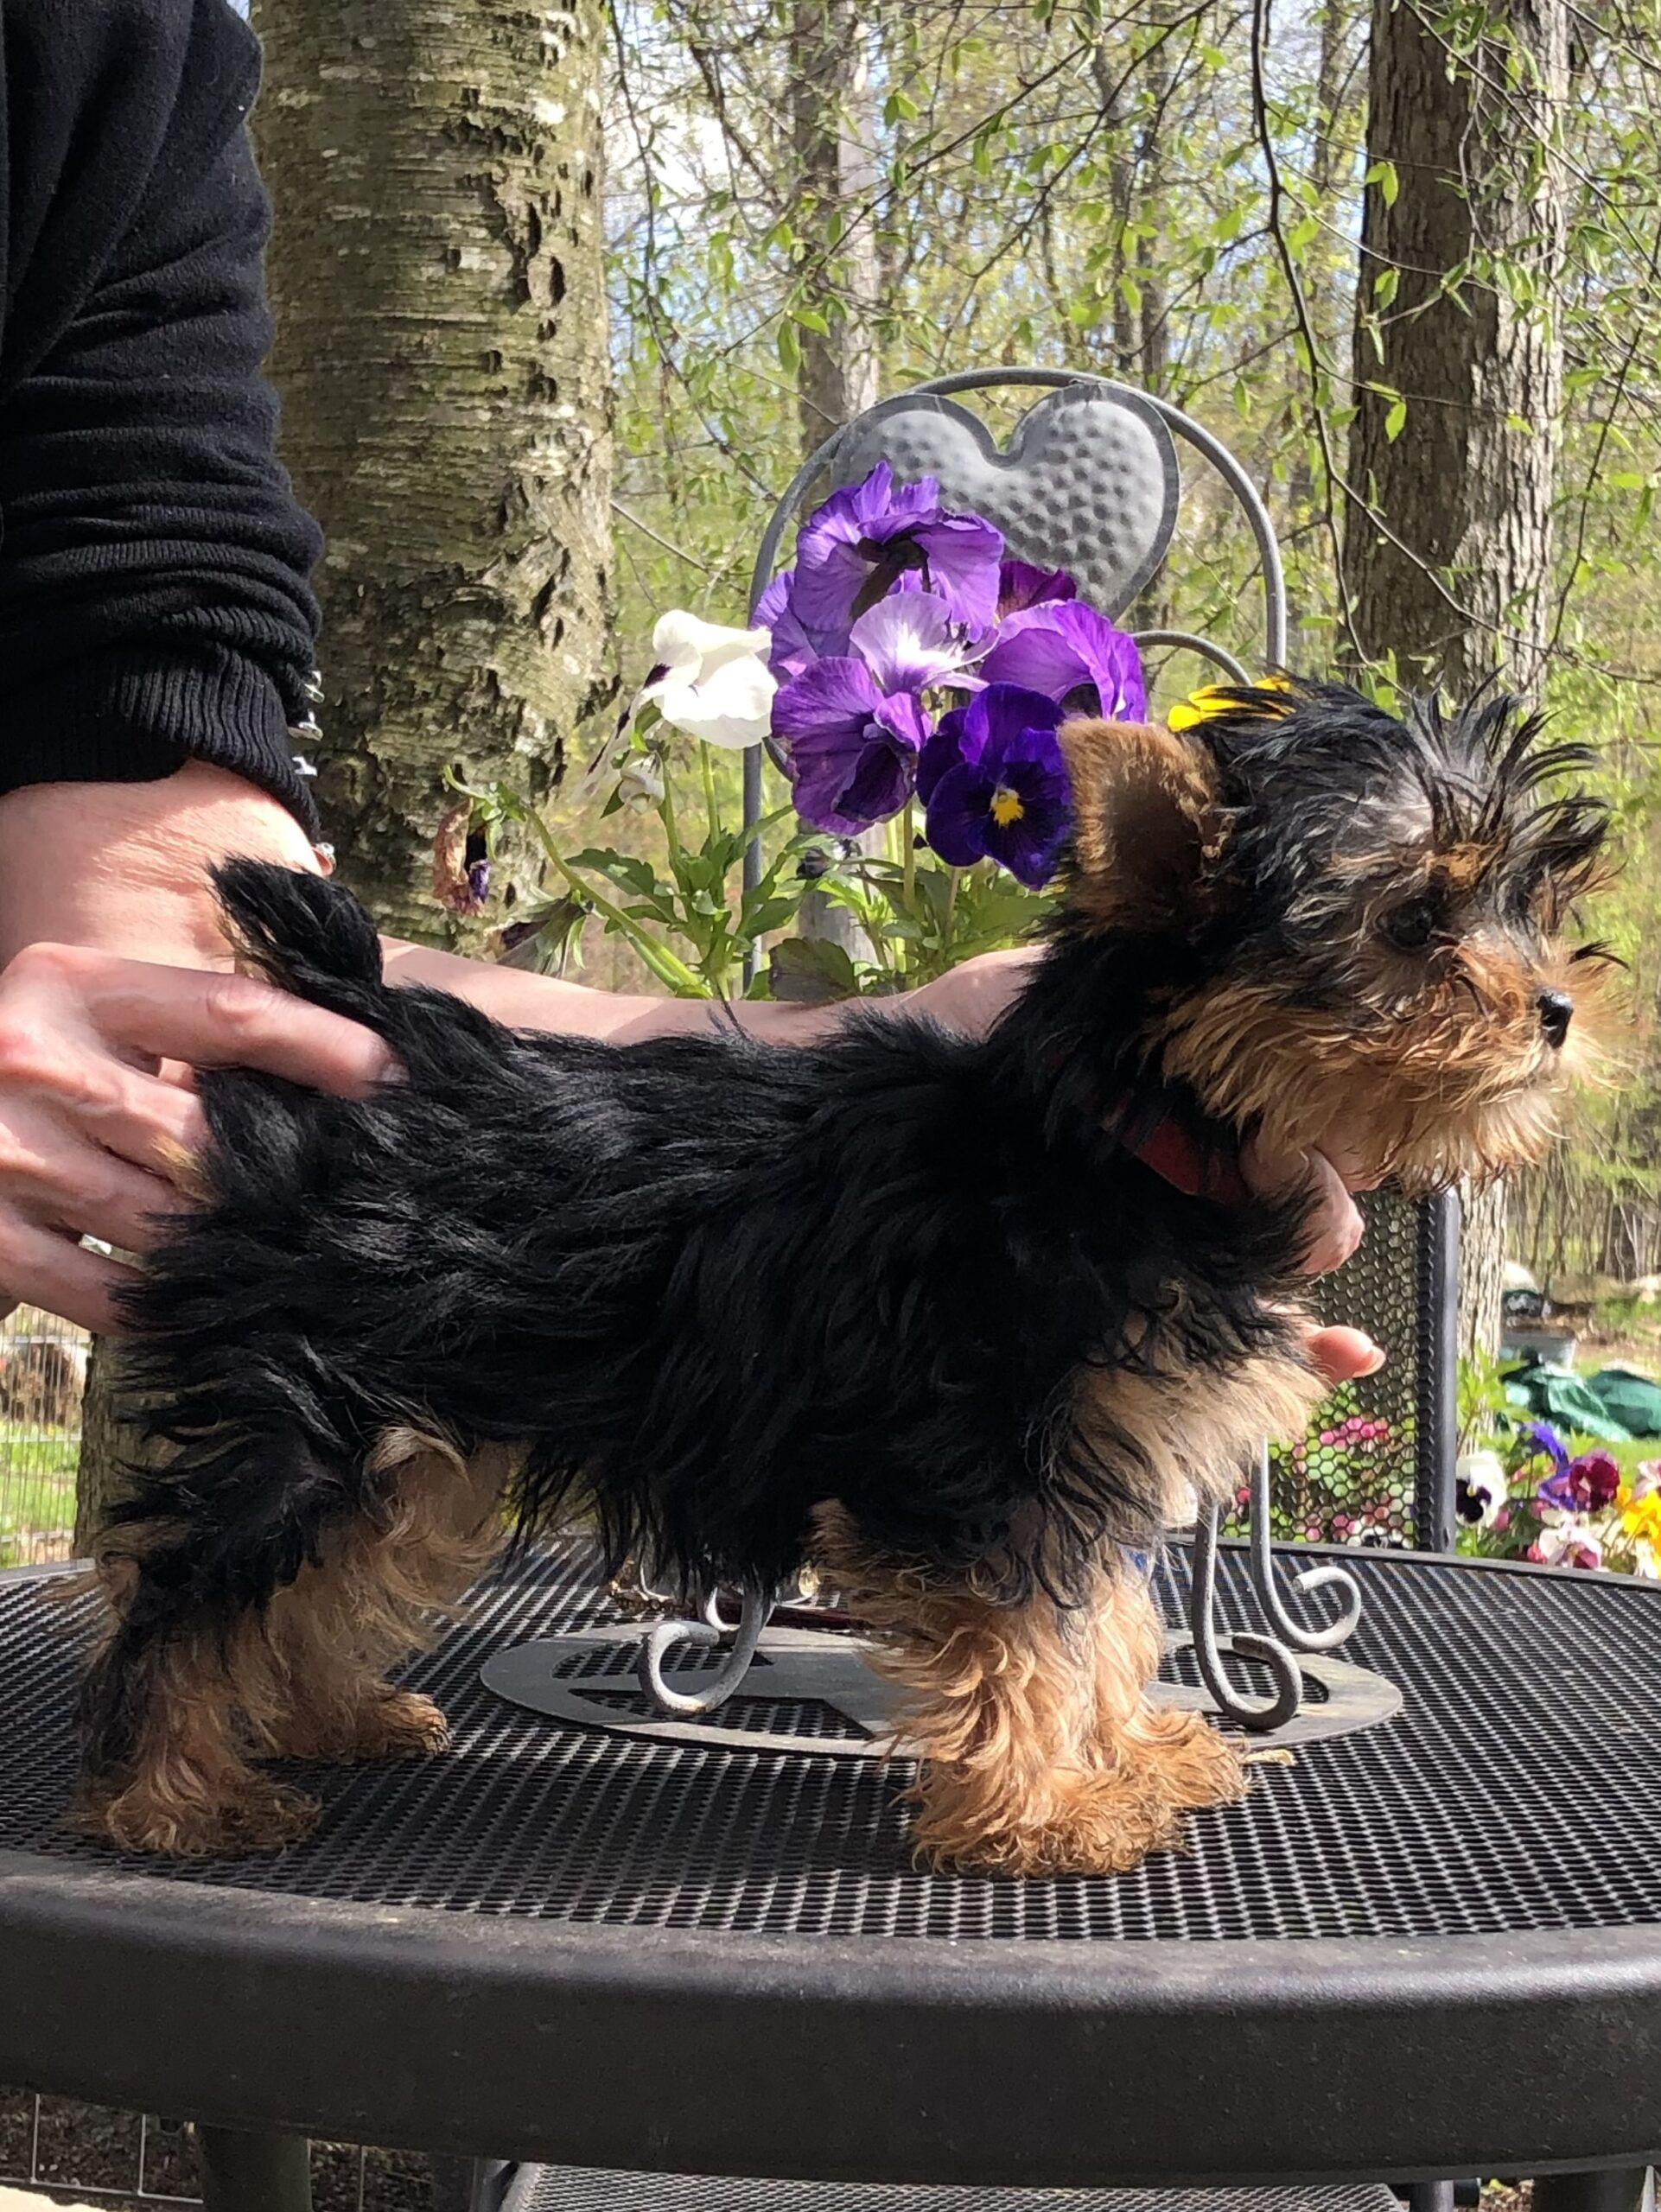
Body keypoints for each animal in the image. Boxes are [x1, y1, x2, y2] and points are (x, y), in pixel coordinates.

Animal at [78, 681, 1610, 1875]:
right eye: (1411, 922)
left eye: (1523, 903)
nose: (1553, 1009)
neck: (1122, 1141)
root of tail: (367, 1042)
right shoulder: (978, 1458)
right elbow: (1027, 1630)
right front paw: (1040, 1814)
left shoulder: (1077, 1456)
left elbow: (1103, 1617)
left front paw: (1123, 1751)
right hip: (311, 1399)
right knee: (195, 1582)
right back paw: (173, 1796)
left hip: (417, 1422)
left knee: (341, 1561)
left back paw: (325, 1714)